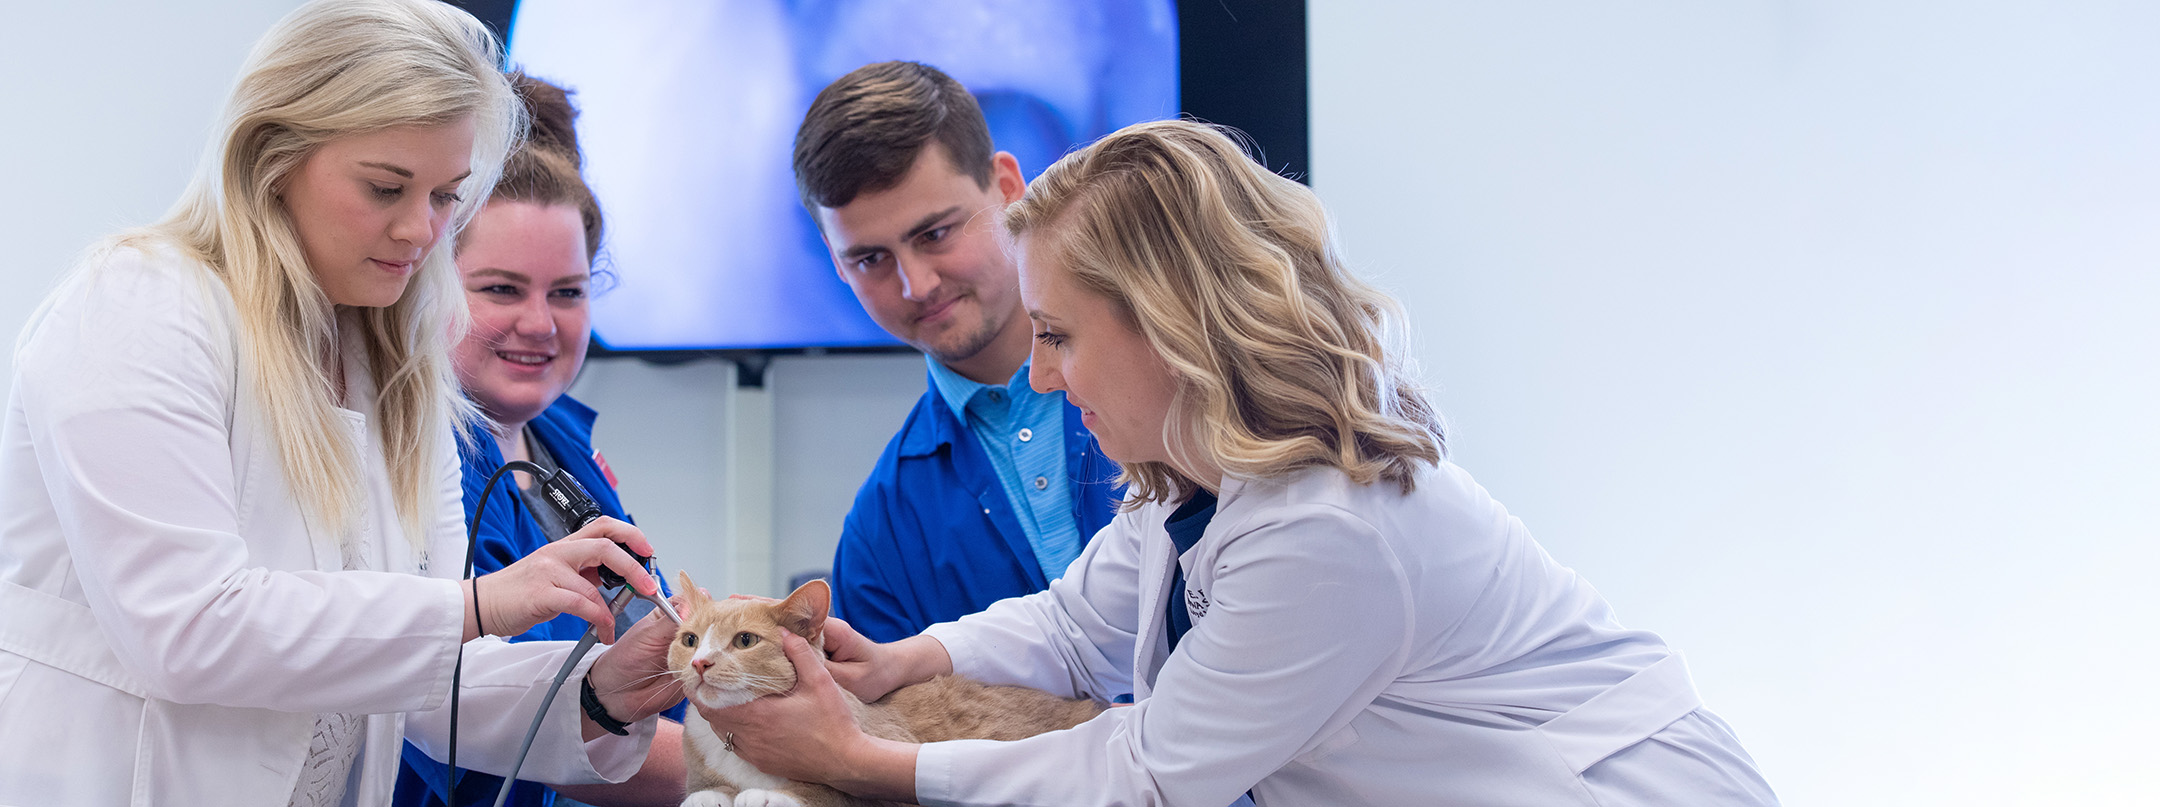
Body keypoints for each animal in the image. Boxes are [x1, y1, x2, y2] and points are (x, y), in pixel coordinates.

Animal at [669, 573, 1114, 807]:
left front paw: (767, 795)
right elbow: (701, 791)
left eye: (745, 641)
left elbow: (825, 792)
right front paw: (712, 796)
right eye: (690, 640)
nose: (700, 663)